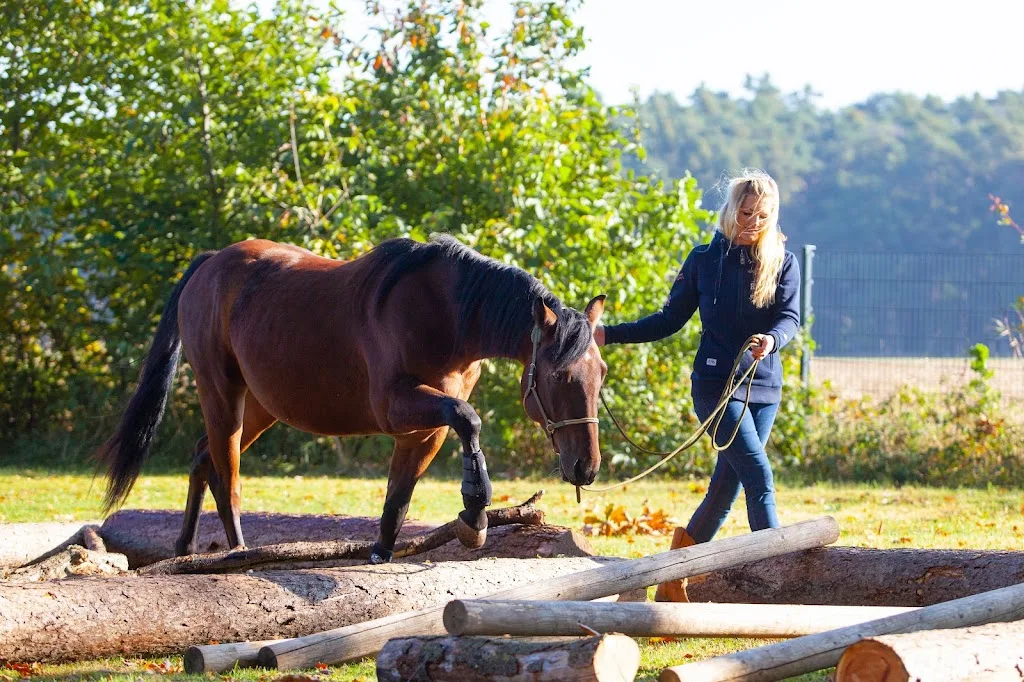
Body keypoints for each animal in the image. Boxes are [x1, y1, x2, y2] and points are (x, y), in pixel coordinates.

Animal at [98, 234, 607, 564]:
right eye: (558, 375)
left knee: (204, 458)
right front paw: (476, 510)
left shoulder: (424, 430)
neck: (447, 314)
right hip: (221, 393)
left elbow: (399, 496)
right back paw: (237, 551)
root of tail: (208, 264)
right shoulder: (398, 407)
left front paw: (382, 550)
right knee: (228, 474)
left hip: (260, 407)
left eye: (600, 373)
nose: (586, 466)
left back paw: (184, 550)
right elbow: (470, 419)